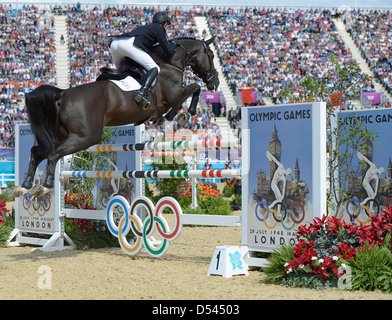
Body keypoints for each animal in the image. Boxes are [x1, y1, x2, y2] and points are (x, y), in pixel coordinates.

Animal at [12, 37, 219, 198]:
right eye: (211, 55)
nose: (215, 82)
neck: (168, 63)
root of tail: (62, 94)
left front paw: (165, 117)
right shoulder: (175, 94)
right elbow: (194, 89)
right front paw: (185, 113)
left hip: (62, 134)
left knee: (38, 151)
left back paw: (26, 186)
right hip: (86, 136)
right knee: (54, 153)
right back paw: (46, 186)